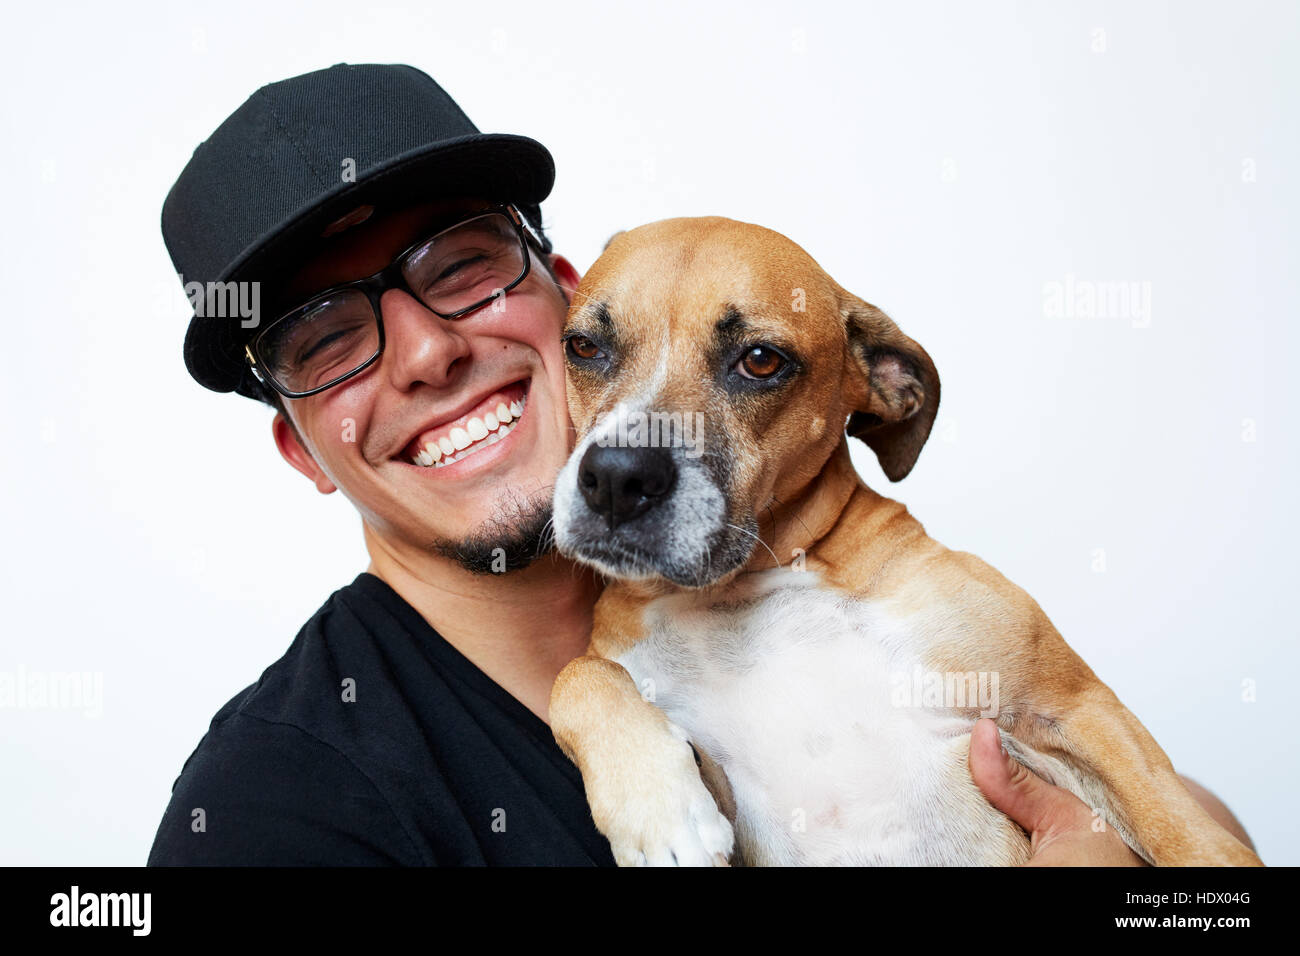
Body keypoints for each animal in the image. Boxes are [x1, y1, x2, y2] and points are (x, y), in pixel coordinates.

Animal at [546, 218, 1258, 868]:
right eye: (583, 346)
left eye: (761, 361)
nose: (616, 478)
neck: (746, 586)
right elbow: (577, 675)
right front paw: (660, 813)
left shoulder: (1072, 711)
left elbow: (1190, 838)